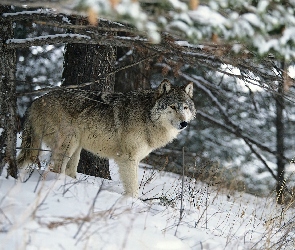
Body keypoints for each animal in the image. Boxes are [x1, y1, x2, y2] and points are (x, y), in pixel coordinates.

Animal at [16, 79, 197, 197]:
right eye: (172, 107)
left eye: (185, 108)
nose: (184, 123)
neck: (147, 116)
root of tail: (35, 101)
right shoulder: (128, 159)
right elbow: (133, 188)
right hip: (69, 143)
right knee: (56, 169)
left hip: (76, 147)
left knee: (69, 170)